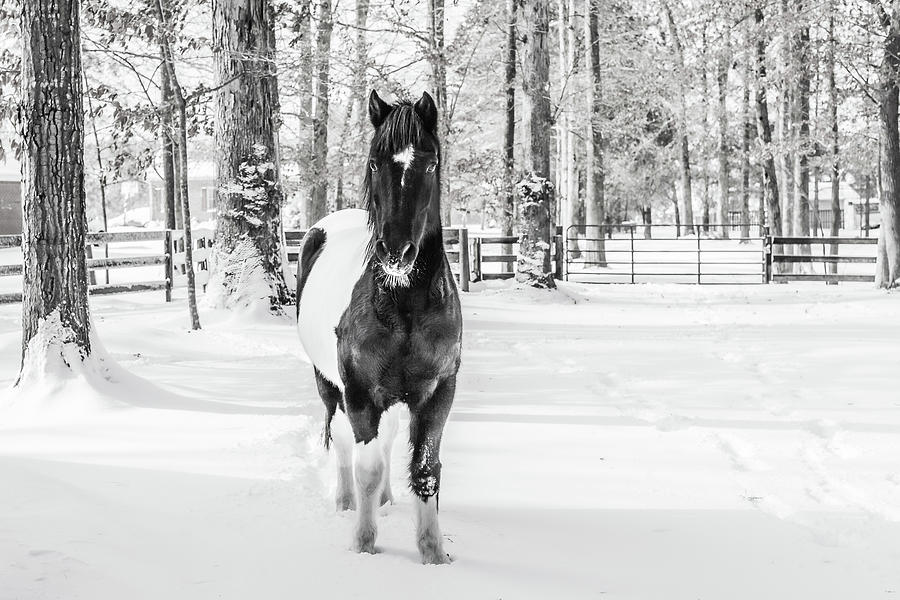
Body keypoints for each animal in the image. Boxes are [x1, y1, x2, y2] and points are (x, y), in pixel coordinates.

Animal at [296, 90, 462, 565]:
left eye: (430, 163)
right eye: (374, 162)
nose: (396, 252)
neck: (403, 305)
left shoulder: (437, 393)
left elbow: (425, 470)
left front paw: (433, 554)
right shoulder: (360, 393)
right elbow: (366, 466)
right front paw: (364, 544)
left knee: (387, 444)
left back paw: (385, 500)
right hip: (329, 386)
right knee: (343, 443)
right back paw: (346, 502)